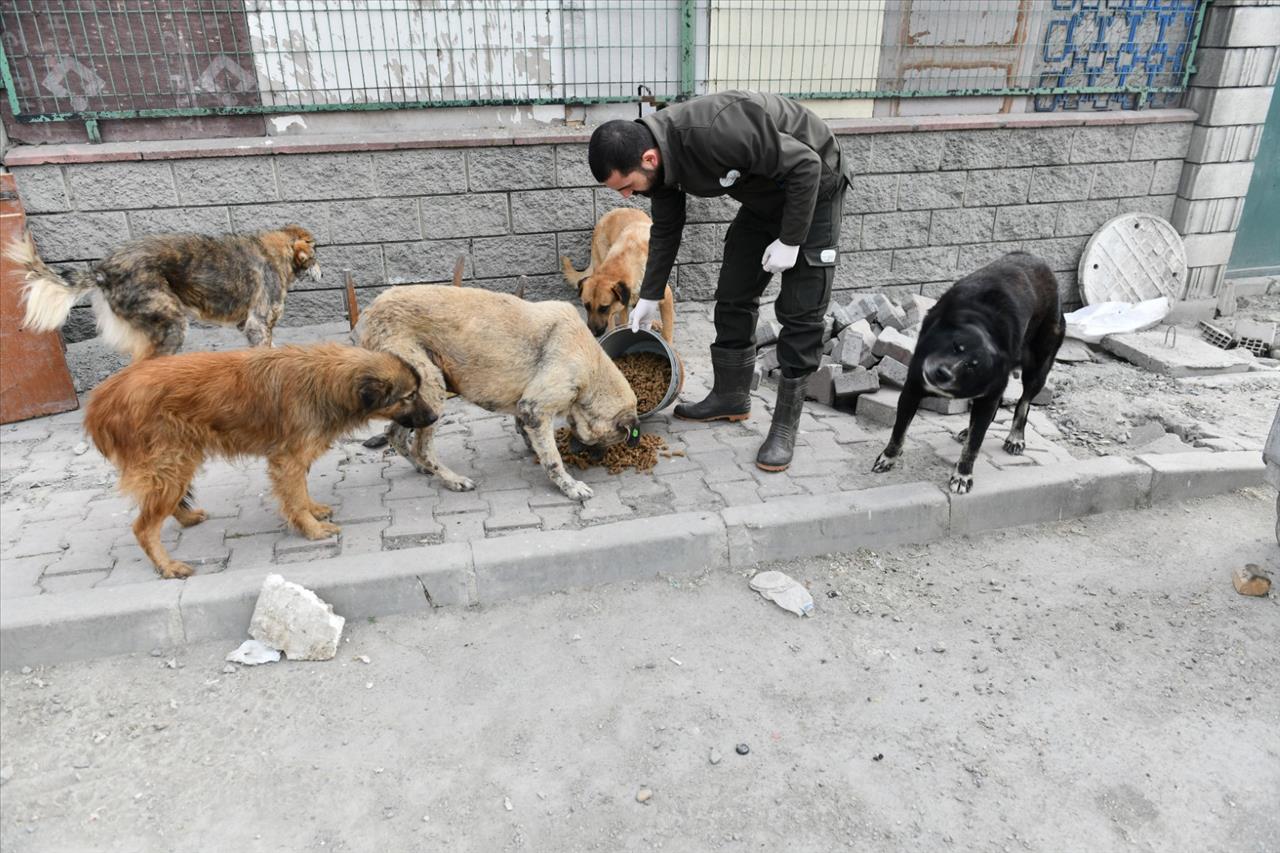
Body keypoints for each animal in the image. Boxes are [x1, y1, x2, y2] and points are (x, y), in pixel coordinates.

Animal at [9, 222, 322, 358]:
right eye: (317, 252)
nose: (323, 271)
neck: (277, 253)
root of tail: (104, 269)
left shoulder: (247, 325)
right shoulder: (257, 324)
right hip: (170, 323)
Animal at [86, 343, 435, 573]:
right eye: (409, 396)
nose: (433, 417)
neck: (326, 379)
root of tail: (102, 398)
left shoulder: (294, 459)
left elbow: (300, 492)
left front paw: (313, 511)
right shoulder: (288, 459)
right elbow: (294, 498)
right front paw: (311, 529)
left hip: (178, 463)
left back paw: (186, 518)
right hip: (170, 463)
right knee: (144, 527)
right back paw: (167, 565)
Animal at [563, 206, 680, 343]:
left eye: (604, 308)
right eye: (586, 306)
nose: (593, 333)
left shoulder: (666, 298)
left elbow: (667, 332)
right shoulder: (620, 305)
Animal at [875, 252, 1064, 491]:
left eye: (973, 365)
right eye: (956, 347)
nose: (942, 373)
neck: (985, 326)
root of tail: (1038, 260)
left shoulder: (989, 392)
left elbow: (974, 445)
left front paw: (963, 475)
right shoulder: (913, 388)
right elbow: (898, 431)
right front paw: (888, 457)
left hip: (1037, 368)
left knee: (1024, 403)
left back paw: (1015, 437)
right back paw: (969, 431)